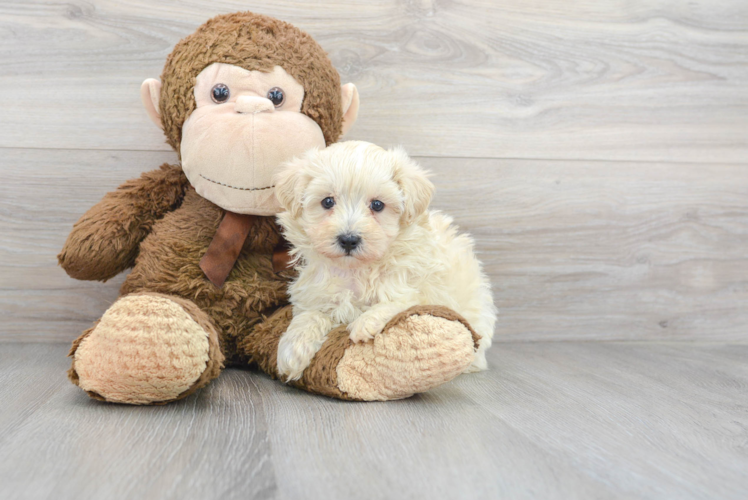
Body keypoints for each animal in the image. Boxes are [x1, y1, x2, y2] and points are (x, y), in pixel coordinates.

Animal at [274, 139, 496, 380]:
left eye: (377, 205)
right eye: (328, 202)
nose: (349, 239)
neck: (355, 269)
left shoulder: (418, 289)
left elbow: (399, 303)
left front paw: (365, 323)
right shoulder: (316, 293)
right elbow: (309, 315)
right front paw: (292, 351)